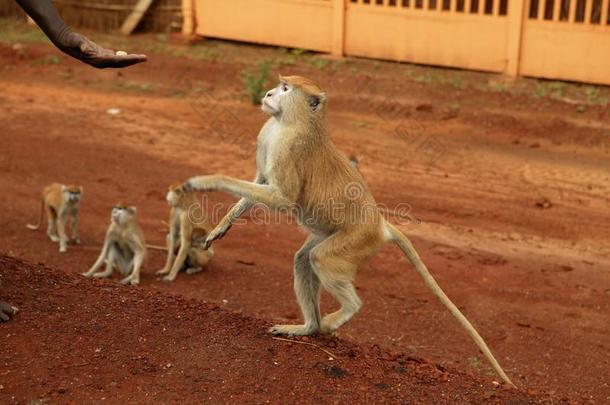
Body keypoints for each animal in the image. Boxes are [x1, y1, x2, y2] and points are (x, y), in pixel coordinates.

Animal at [176, 76, 512, 386]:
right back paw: (308, 328)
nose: (269, 94)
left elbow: (283, 198)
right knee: (304, 259)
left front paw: (205, 181)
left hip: (356, 240)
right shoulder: (267, 138)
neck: (291, 120)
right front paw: (222, 225)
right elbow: (261, 182)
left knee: (322, 260)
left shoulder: (289, 147)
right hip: (338, 236)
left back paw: (340, 314)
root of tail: (379, 223)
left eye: (285, 88)